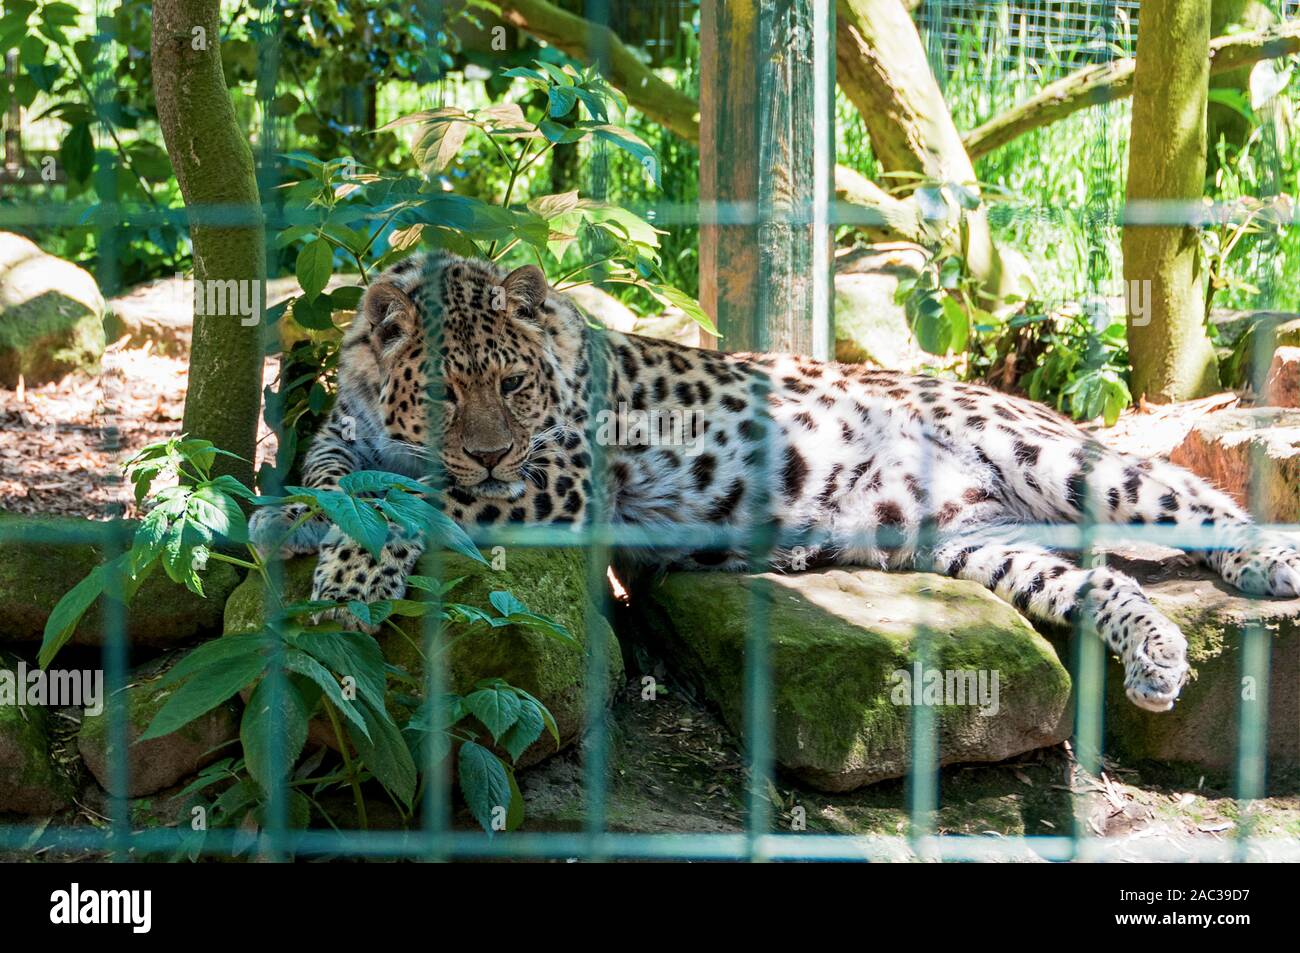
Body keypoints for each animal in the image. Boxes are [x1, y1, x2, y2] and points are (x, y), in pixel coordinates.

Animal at [250, 249, 1300, 712]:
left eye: (512, 385)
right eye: (442, 391)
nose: (490, 453)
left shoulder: (557, 481)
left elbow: (407, 502)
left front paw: (347, 582)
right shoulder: (347, 430)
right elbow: (329, 473)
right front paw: (286, 520)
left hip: (1056, 454)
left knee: (1193, 498)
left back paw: (1269, 562)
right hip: (976, 544)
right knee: (1104, 581)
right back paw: (1157, 656)